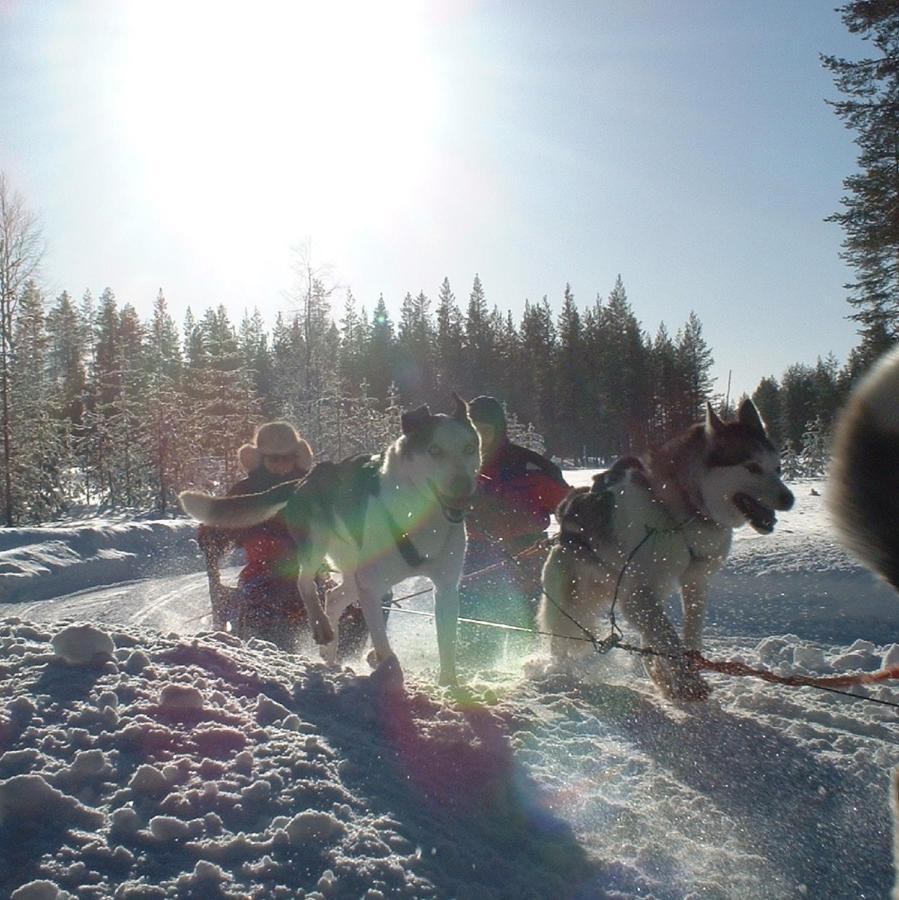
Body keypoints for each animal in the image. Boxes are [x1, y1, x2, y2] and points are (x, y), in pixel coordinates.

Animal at [178, 398, 482, 684]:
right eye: (434, 450)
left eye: (470, 448)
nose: (464, 489)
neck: (416, 518)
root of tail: (305, 479)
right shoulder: (370, 587)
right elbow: (382, 643)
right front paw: (389, 671)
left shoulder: (445, 587)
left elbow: (446, 643)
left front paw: (450, 685)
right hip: (317, 545)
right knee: (305, 583)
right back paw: (321, 627)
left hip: (352, 571)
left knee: (334, 596)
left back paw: (330, 650)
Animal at [536, 400, 792, 704]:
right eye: (752, 467)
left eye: (778, 468)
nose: (789, 498)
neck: (678, 511)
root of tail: (564, 519)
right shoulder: (637, 595)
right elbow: (671, 641)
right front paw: (687, 681)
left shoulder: (694, 583)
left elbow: (688, 635)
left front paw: (685, 677)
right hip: (574, 606)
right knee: (563, 641)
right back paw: (561, 672)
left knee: (649, 641)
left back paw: (662, 680)